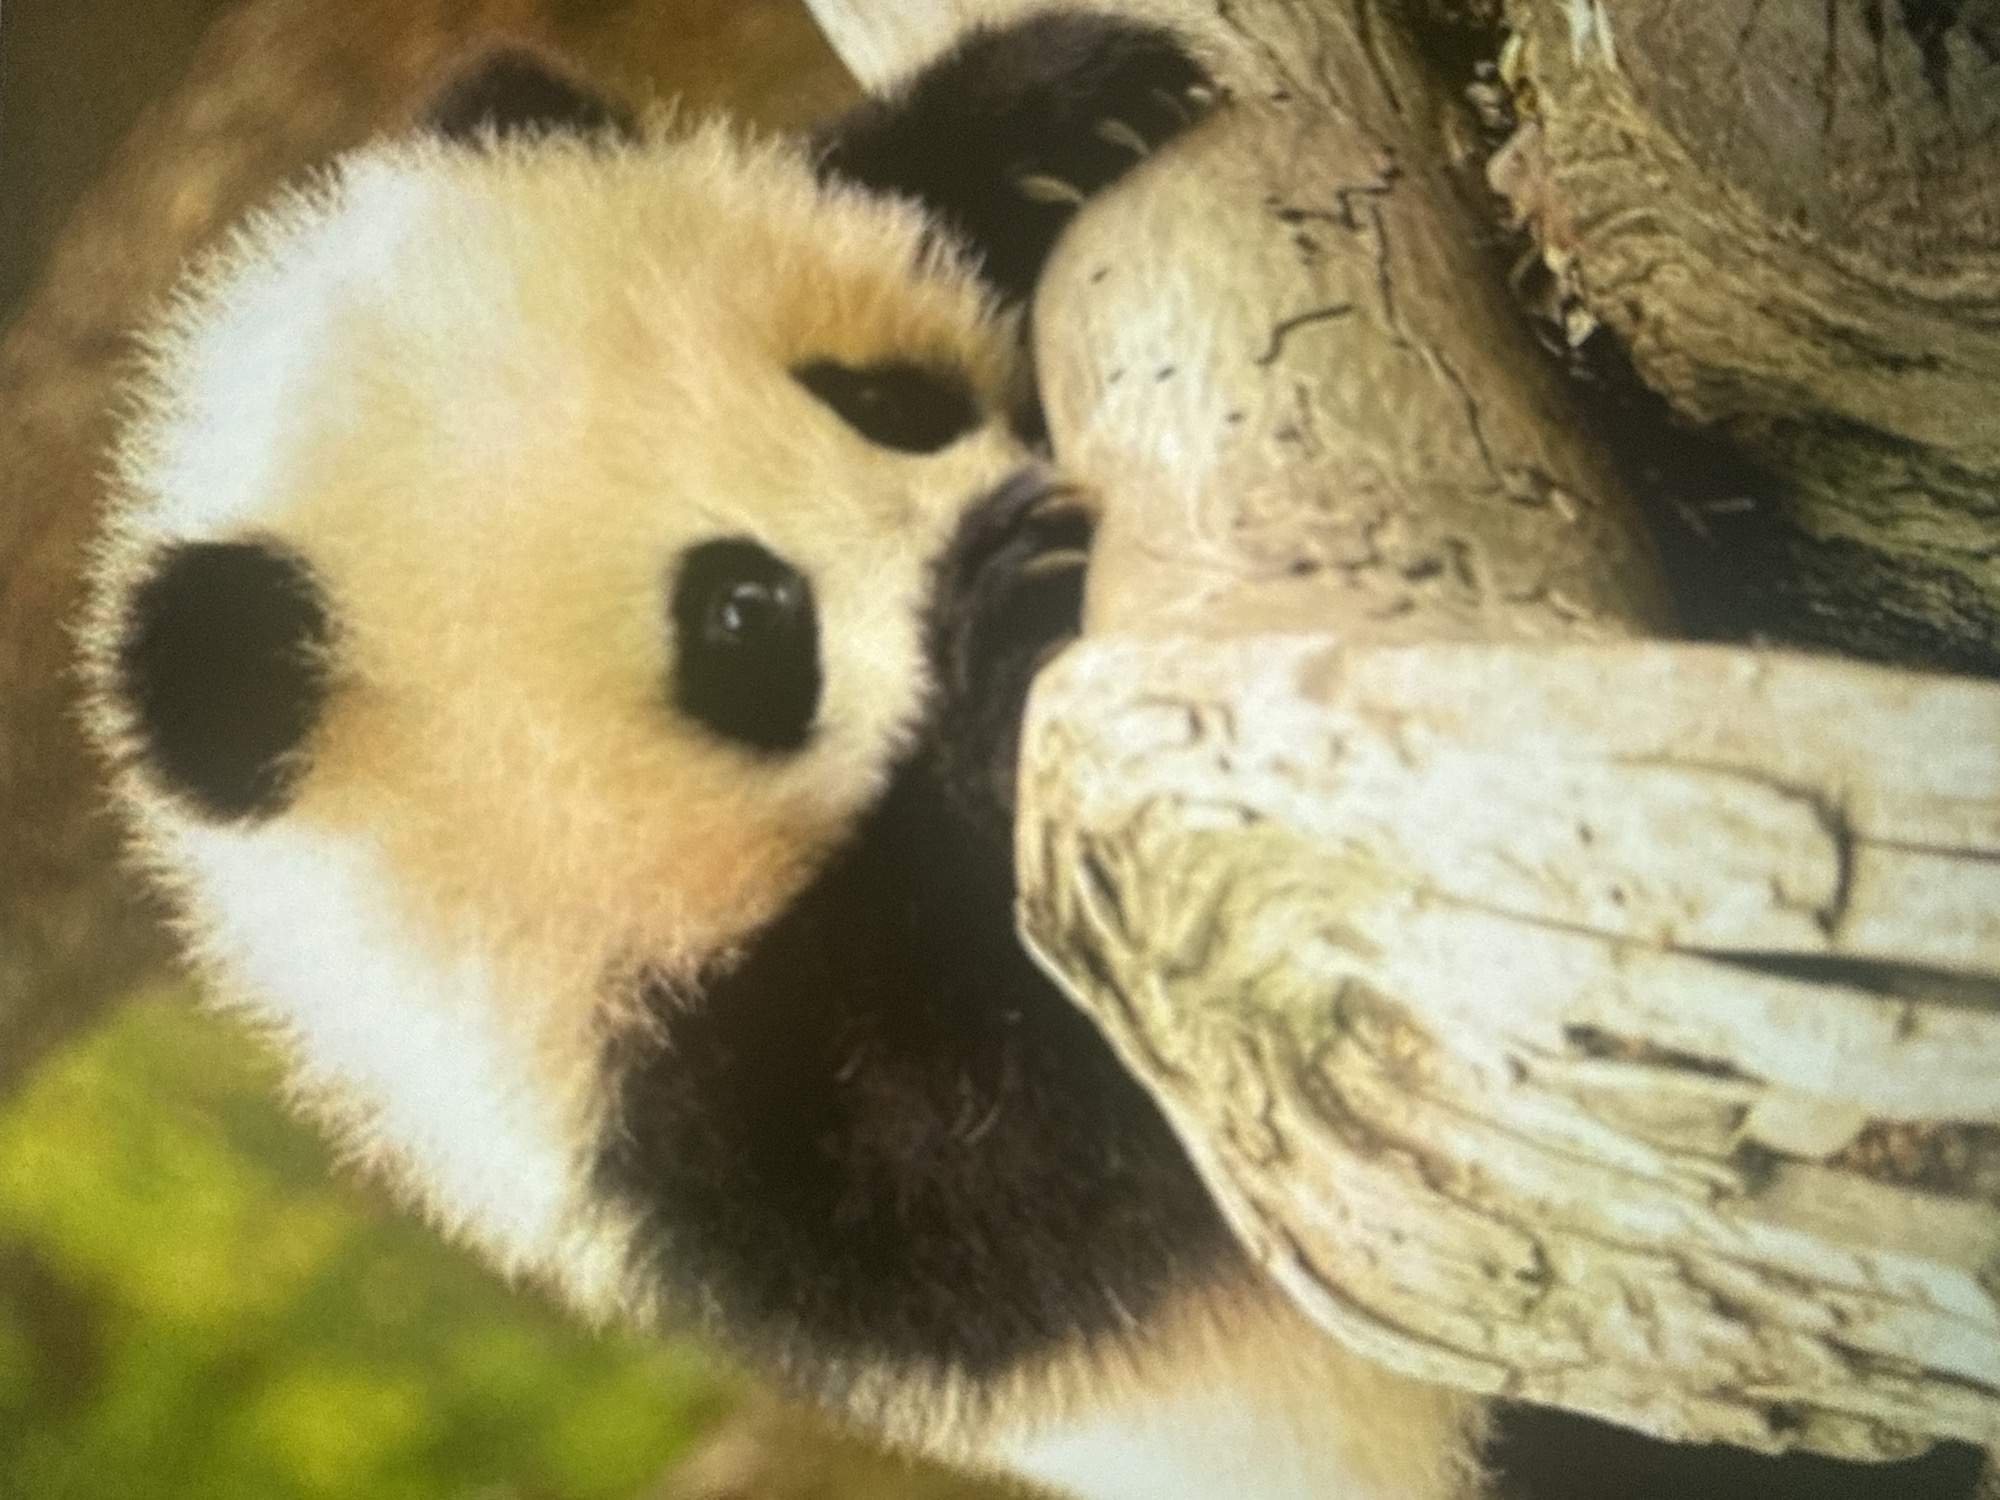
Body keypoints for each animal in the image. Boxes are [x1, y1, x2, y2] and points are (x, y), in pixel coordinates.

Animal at [74, 11, 1988, 1500]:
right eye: (744, 617)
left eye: (878, 397)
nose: (1018, 499)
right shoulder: (703, 1130)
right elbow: (1017, 1131)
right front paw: (1011, 642)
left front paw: (1034, 120)